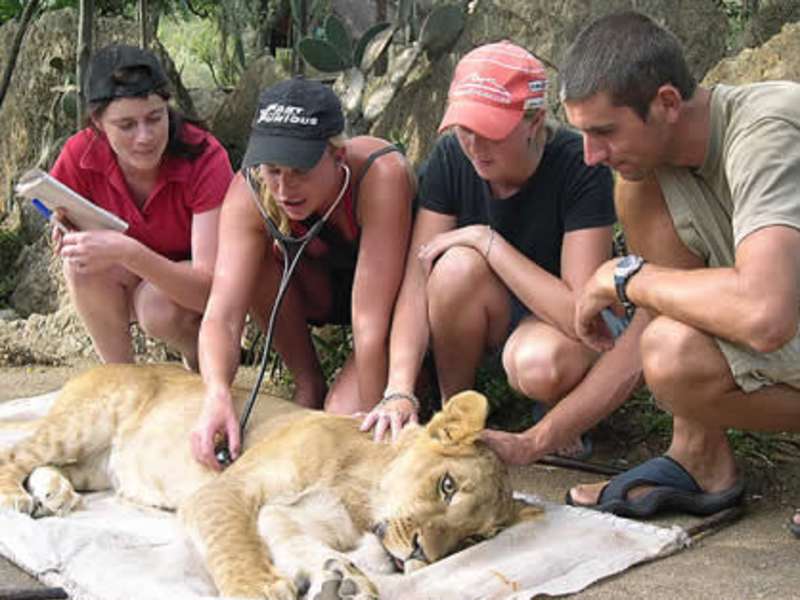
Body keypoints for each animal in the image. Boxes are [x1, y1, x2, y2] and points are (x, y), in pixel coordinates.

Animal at [0, 363, 540, 599]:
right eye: (447, 486)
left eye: (473, 539)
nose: (423, 555)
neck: (361, 494)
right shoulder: (224, 490)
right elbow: (232, 543)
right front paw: (257, 589)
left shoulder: (292, 513)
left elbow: (293, 540)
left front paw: (338, 580)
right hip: (83, 424)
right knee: (15, 452)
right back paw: (17, 498)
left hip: (93, 464)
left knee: (55, 468)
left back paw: (54, 495)